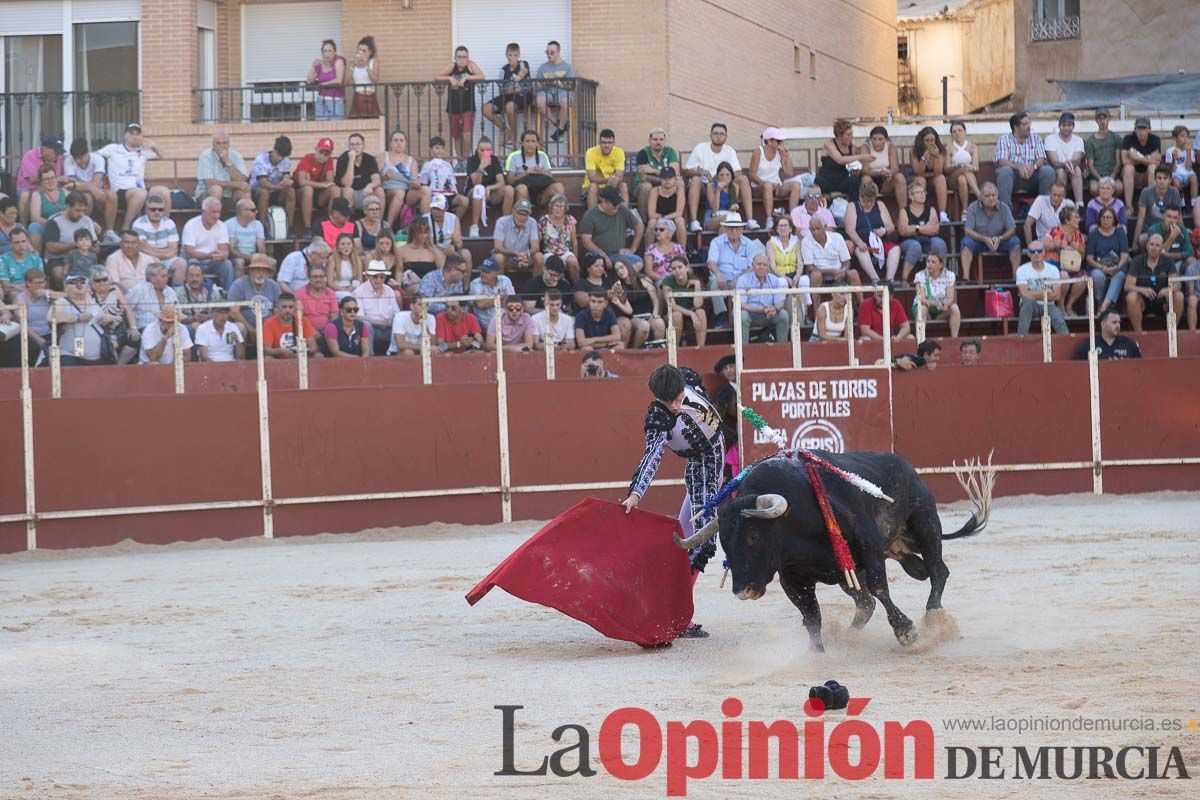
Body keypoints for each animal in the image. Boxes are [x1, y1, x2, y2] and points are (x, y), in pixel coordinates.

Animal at [681, 450, 979, 652]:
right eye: (724, 543)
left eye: (754, 535)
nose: (743, 591)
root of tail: (908, 468)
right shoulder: (792, 577)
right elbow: (812, 615)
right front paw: (816, 653)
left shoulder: (869, 547)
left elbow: (880, 588)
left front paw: (906, 631)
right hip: (856, 571)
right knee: (866, 603)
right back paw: (848, 637)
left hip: (925, 526)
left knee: (938, 570)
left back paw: (933, 617)